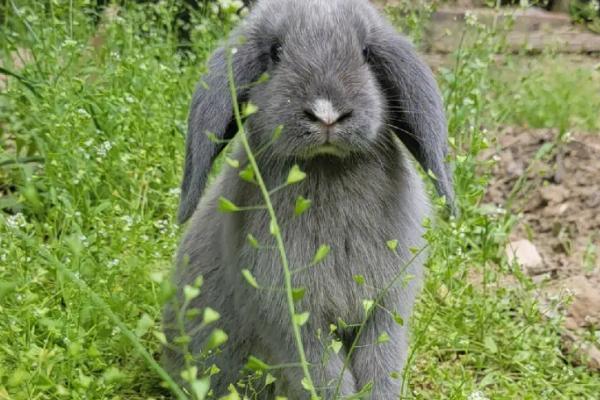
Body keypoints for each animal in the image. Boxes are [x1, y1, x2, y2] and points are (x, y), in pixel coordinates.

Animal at [162, 0, 452, 398]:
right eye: (275, 52)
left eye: (366, 53)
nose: (327, 113)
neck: (326, 167)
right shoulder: (293, 320)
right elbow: (324, 376)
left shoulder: (386, 310)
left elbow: (380, 366)